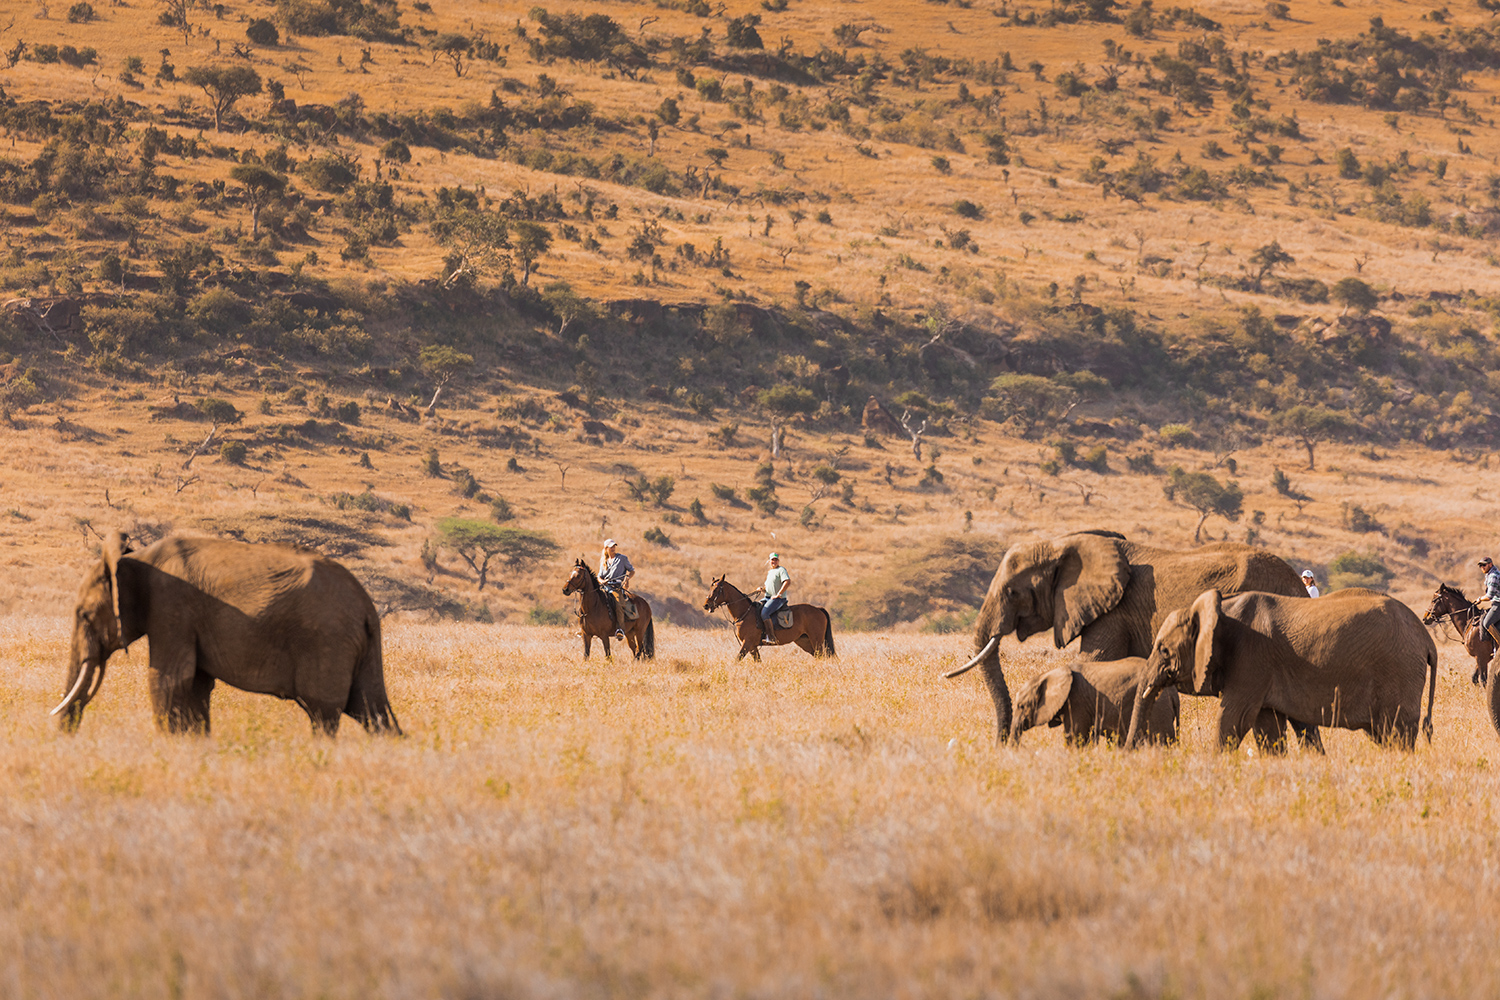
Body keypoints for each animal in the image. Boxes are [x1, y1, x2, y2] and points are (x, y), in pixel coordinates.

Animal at [53, 530, 401, 737]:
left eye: (84, 615)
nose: (67, 733)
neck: (136, 558)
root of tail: (367, 607)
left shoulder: (172, 609)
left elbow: (167, 680)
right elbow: (196, 685)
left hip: (327, 641)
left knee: (324, 713)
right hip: (358, 647)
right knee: (371, 709)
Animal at [1009, 657, 1179, 746]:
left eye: (1021, 706)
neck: (1048, 674)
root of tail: (1173, 693)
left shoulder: (1076, 702)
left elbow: (1075, 737)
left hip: (1158, 708)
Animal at [1125, 588, 1437, 752]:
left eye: (1163, 650)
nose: (1126, 754)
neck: (1219, 609)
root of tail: (1426, 638)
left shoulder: (1251, 659)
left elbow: (1233, 718)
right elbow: (1267, 727)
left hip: (1399, 671)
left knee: (1396, 731)